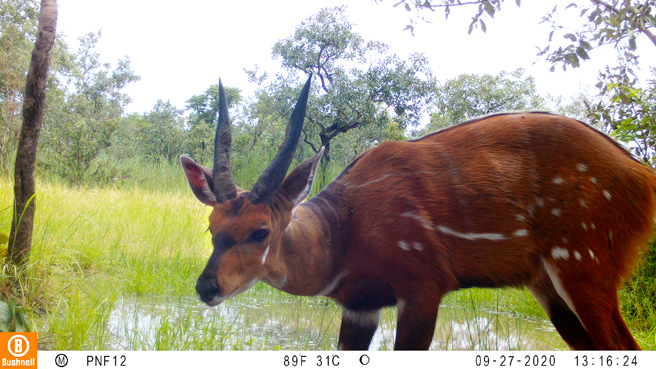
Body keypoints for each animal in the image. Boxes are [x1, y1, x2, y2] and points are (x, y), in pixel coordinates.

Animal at [181, 74, 656, 348]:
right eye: (211, 227)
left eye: (260, 230)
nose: (206, 288)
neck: (342, 232)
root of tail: (643, 176)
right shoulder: (361, 306)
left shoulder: (423, 287)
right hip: (549, 287)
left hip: (584, 269)